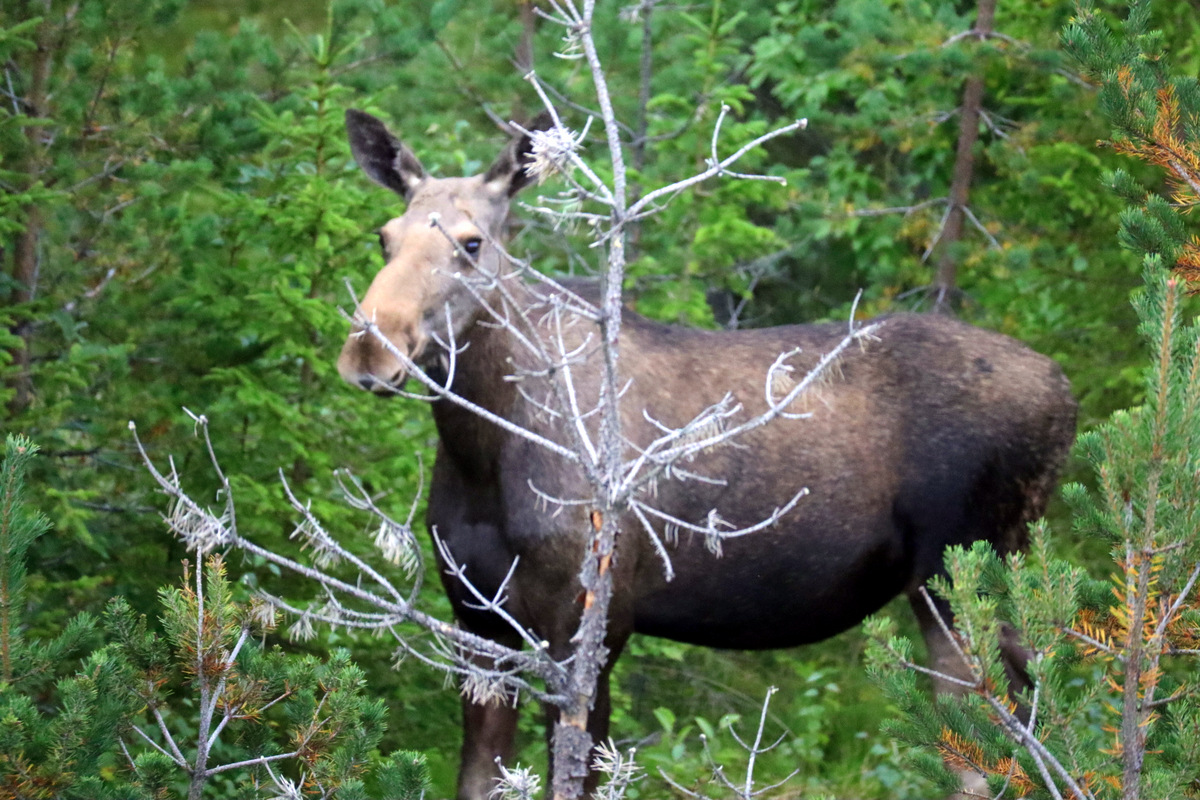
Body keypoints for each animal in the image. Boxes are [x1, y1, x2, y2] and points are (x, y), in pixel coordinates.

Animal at [338, 107, 1080, 800]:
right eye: (384, 237)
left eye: (472, 242)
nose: (370, 350)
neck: (481, 453)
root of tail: (1068, 395)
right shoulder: (477, 620)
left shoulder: (590, 626)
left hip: (968, 570)